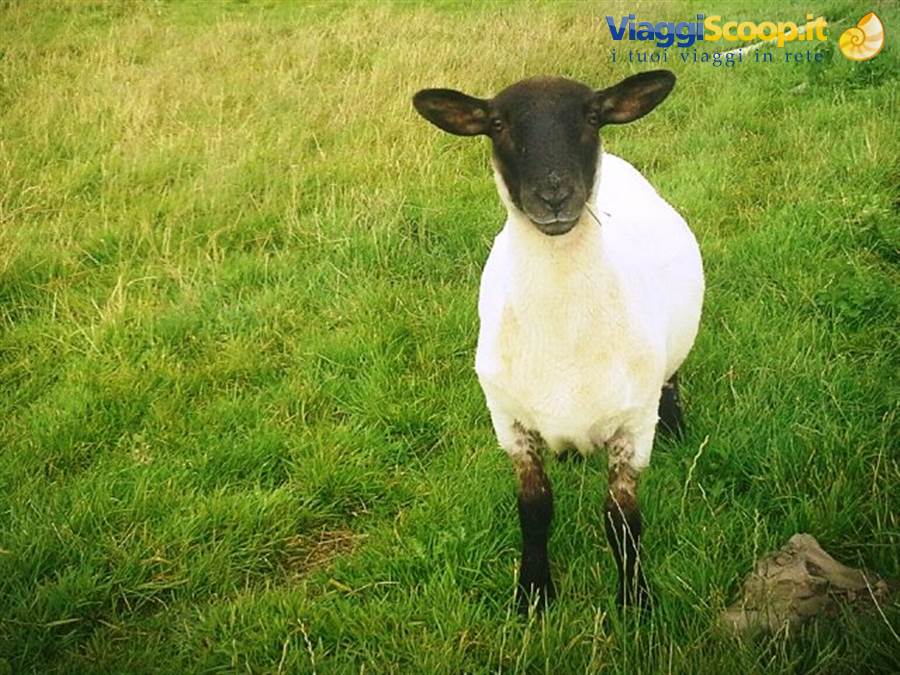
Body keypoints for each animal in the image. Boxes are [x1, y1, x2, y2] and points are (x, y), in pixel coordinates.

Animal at [412, 70, 704, 611]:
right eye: (498, 124)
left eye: (591, 116)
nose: (553, 195)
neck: (564, 339)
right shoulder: (509, 421)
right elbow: (534, 509)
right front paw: (532, 592)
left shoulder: (633, 428)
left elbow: (622, 521)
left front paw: (635, 601)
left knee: (671, 380)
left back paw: (676, 426)